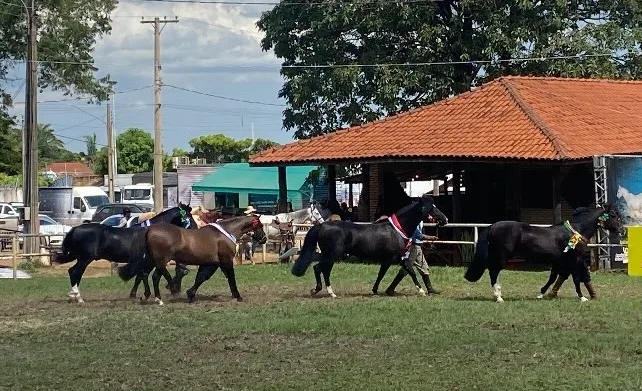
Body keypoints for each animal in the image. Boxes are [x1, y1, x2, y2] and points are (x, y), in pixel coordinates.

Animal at [53, 204, 195, 304]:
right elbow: (145, 275)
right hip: (85, 258)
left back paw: (75, 296)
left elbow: (141, 276)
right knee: (75, 272)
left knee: (74, 272)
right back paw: (77, 296)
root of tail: (75, 229)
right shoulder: (150, 261)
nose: (195, 229)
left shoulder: (145, 261)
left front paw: (139, 295)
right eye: (190, 217)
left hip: (82, 258)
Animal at [118, 214, 268, 306]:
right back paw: (160, 298)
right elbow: (231, 277)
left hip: (152, 260)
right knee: (155, 276)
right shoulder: (226, 261)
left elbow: (201, 277)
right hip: (161, 260)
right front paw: (238, 296)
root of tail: (150, 230)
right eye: (260, 226)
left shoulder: (212, 263)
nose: (264, 239)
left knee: (146, 274)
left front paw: (190, 294)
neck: (225, 232)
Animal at [290, 194, 444, 298]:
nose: (445, 219)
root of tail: (322, 225)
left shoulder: (390, 260)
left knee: (321, 269)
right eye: (430, 208)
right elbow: (410, 271)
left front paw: (375, 290)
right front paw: (422, 291)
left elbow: (382, 274)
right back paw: (327, 292)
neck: (396, 230)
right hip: (332, 255)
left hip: (328, 255)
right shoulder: (395, 258)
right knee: (320, 269)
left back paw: (323, 291)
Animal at [462, 205, 624, 304]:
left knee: (494, 271)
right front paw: (582, 297)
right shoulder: (574, 258)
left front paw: (542, 294)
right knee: (494, 271)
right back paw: (498, 297)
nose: (622, 230)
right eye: (613, 215)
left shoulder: (560, 260)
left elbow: (554, 277)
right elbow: (576, 278)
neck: (576, 231)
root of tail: (493, 226)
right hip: (502, 256)